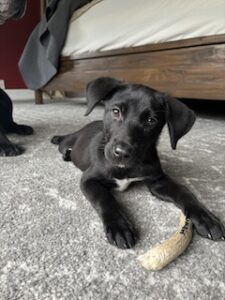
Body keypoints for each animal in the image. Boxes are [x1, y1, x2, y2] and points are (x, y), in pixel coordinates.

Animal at [51, 77, 225, 248]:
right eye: (116, 111)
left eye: (151, 120)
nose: (121, 153)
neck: (125, 168)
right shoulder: (89, 180)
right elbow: (105, 199)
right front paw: (118, 226)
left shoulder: (158, 180)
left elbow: (184, 191)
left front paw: (206, 218)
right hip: (68, 142)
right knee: (63, 143)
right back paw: (60, 144)